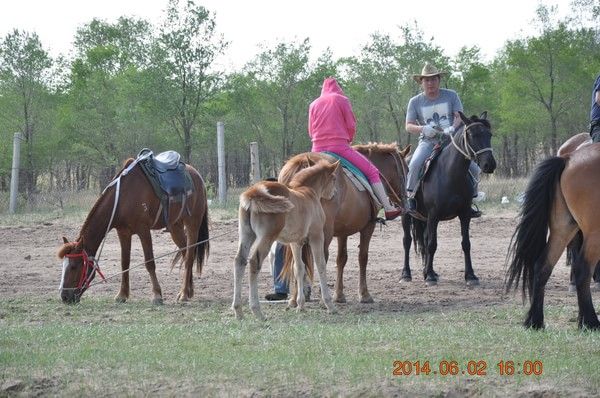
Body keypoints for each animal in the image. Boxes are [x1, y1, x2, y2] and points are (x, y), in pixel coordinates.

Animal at [57, 156, 210, 304]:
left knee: (189, 256)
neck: (122, 198)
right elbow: (124, 263)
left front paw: (157, 295)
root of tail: (197, 176)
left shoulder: (144, 230)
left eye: (74, 266)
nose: (64, 296)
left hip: (192, 224)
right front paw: (122, 295)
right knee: (185, 252)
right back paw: (189, 291)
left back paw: (184, 294)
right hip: (175, 227)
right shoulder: (123, 232)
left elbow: (149, 263)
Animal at [232, 159, 340, 320]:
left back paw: (238, 311)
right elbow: (321, 265)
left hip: (246, 234)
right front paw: (330, 305)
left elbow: (299, 268)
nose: (334, 194)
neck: (307, 191)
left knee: (239, 261)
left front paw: (300, 305)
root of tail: (253, 192)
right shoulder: (316, 236)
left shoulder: (296, 242)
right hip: (267, 237)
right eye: (333, 178)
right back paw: (257, 311)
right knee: (254, 262)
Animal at [278, 145, 410, 304]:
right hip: (323, 232)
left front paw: (339, 294)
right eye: (407, 169)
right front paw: (364, 294)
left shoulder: (343, 231)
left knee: (298, 262)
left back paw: (295, 298)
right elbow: (363, 257)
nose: (406, 203)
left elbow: (341, 259)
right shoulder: (368, 227)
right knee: (320, 259)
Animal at [400, 112, 494, 284]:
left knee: (423, 240)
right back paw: (406, 274)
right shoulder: (434, 215)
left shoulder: (464, 214)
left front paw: (470, 275)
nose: (489, 164)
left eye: (489, 135)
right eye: (472, 135)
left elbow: (466, 243)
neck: (451, 174)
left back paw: (426, 271)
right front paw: (430, 277)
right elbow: (432, 244)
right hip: (407, 215)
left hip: (424, 218)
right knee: (407, 241)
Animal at [508, 143, 600, 330]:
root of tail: (568, 159)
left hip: (563, 229)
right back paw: (591, 322)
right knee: (583, 270)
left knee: (543, 266)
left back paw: (535, 321)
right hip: (594, 233)